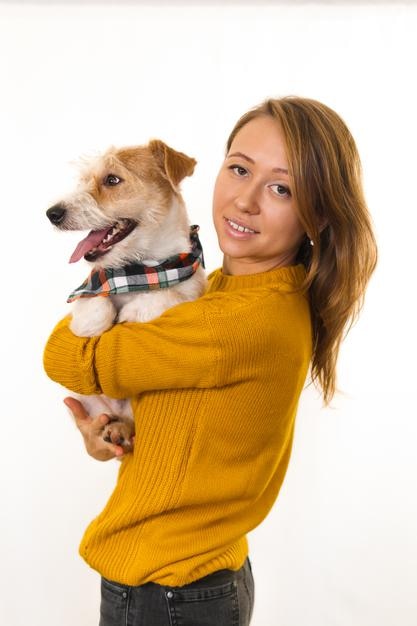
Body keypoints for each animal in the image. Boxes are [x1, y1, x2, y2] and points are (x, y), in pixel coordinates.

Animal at [46, 139, 206, 446]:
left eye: (112, 179)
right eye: (84, 180)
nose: (52, 213)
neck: (139, 269)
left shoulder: (191, 290)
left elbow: (169, 295)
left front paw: (134, 311)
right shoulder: (87, 289)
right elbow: (94, 303)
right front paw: (98, 321)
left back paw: (120, 429)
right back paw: (113, 429)